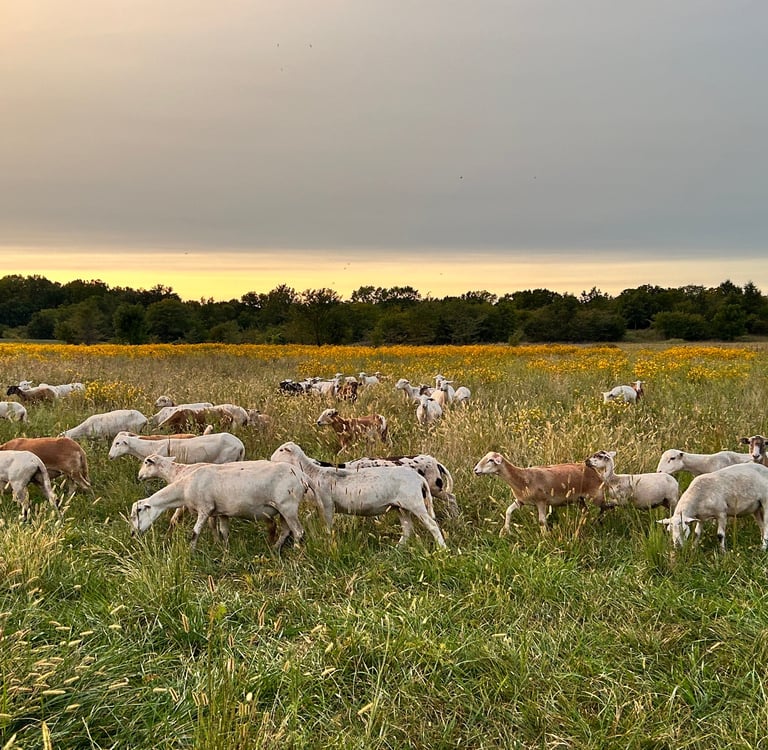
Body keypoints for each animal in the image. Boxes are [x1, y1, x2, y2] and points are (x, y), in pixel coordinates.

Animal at [129, 460, 308, 552]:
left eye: (139, 510)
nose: (132, 533)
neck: (185, 487)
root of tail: (302, 476)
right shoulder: (222, 512)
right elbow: (223, 531)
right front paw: (225, 550)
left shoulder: (205, 508)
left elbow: (195, 533)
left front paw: (190, 552)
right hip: (283, 509)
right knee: (286, 530)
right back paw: (274, 549)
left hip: (288, 506)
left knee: (298, 531)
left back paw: (296, 552)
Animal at [269, 441, 446, 548]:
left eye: (282, 450)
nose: (270, 459)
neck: (313, 472)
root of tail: (419, 478)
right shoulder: (320, 506)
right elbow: (309, 520)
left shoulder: (327, 505)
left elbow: (328, 527)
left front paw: (328, 542)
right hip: (401, 507)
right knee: (408, 529)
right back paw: (398, 548)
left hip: (415, 503)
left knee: (432, 525)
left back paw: (442, 548)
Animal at [473, 451, 605, 536]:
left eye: (490, 460)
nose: (475, 470)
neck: (522, 478)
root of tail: (592, 469)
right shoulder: (520, 501)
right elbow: (508, 511)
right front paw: (505, 531)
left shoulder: (541, 501)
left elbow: (542, 521)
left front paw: (545, 537)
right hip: (579, 499)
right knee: (585, 511)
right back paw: (582, 525)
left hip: (596, 495)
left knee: (603, 507)